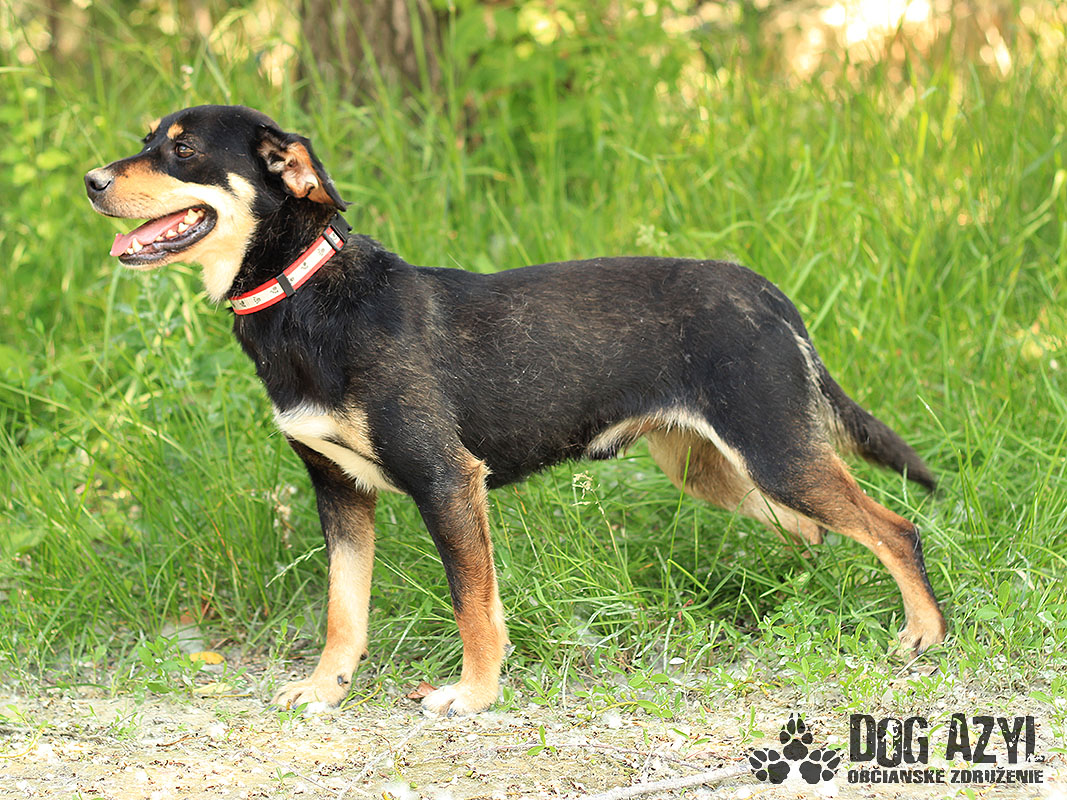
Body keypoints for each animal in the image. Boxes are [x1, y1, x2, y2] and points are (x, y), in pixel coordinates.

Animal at [85, 104, 947, 715]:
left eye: (183, 150)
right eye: (146, 139)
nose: (92, 180)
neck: (306, 295)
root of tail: (767, 292)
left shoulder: (446, 481)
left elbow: (473, 606)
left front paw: (473, 695)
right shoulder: (340, 492)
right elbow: (342, 612)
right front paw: (326, 690)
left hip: (775, 452)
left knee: (895, 529)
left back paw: (923, 635)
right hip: (720, 470)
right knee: (817, 532)